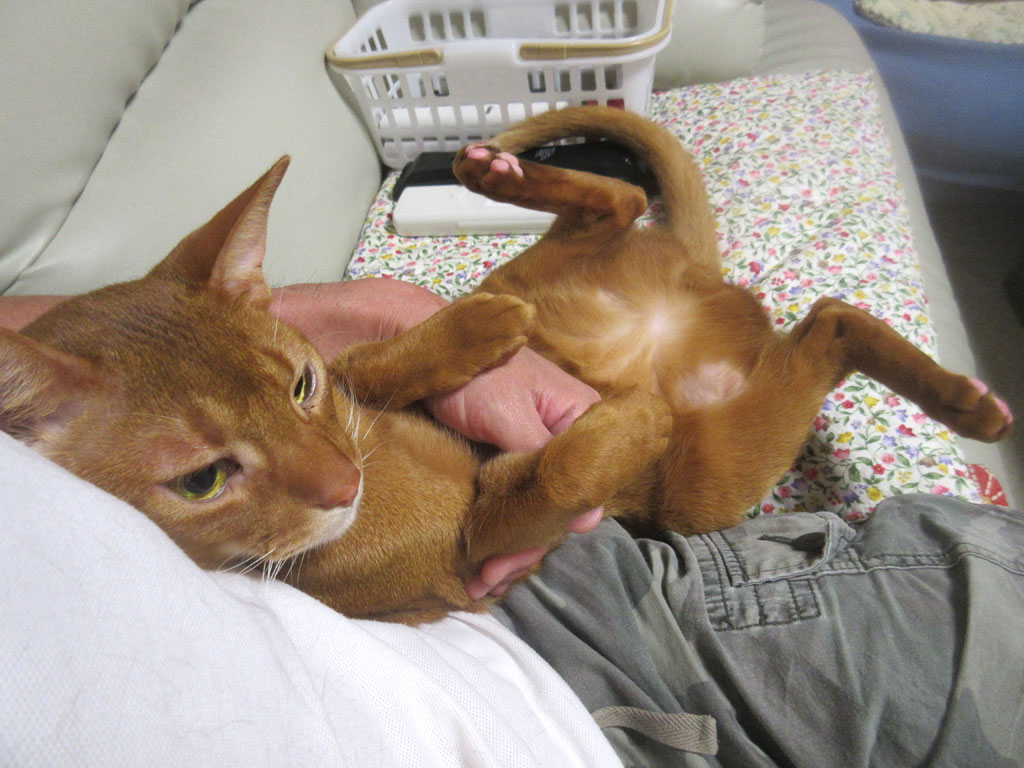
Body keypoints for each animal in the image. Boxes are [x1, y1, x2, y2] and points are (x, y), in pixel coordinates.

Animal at [0, 107, 1012, 625]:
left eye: (299, 386)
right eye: (203, 480)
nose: (340, 482)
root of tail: (695, 290)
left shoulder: (355, 379)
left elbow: (381, 360)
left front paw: (474, 335)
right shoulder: (480, 544)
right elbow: (563, 468)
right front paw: (629, 419)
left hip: (555, 259)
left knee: (621, 199)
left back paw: (493, 173)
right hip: (712, 476)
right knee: (829, 323)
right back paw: (971, 402)